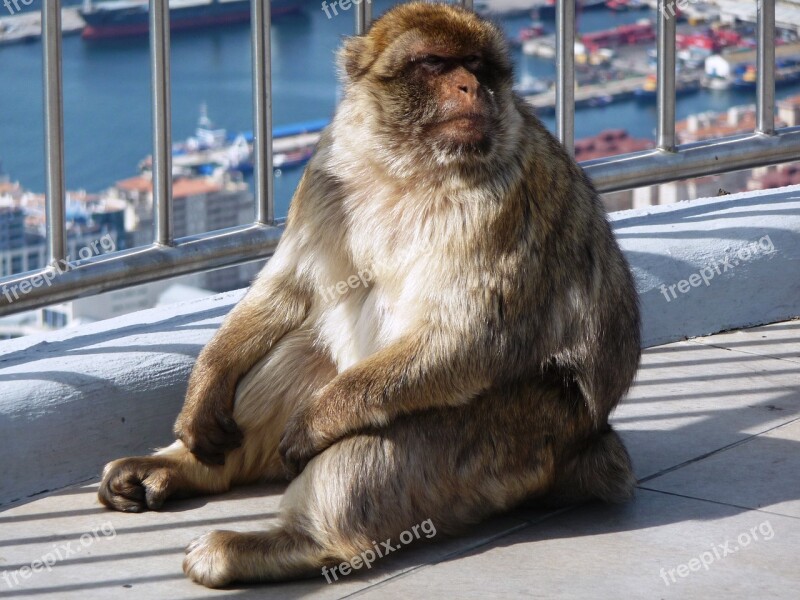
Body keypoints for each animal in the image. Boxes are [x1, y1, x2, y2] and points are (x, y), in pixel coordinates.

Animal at [97, 2, 640, 588]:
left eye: (476, 64)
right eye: (435, 63)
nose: (472, 87)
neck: (410, 167)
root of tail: (590, 443)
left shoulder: (503, 201)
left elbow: (469, 338)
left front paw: (312, 424)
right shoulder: (326, 169)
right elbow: (289, 287)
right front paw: (206, 384)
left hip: (526, 434)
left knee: (390, 432)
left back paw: (290, 544)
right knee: (301, 350)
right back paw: (182, 470)